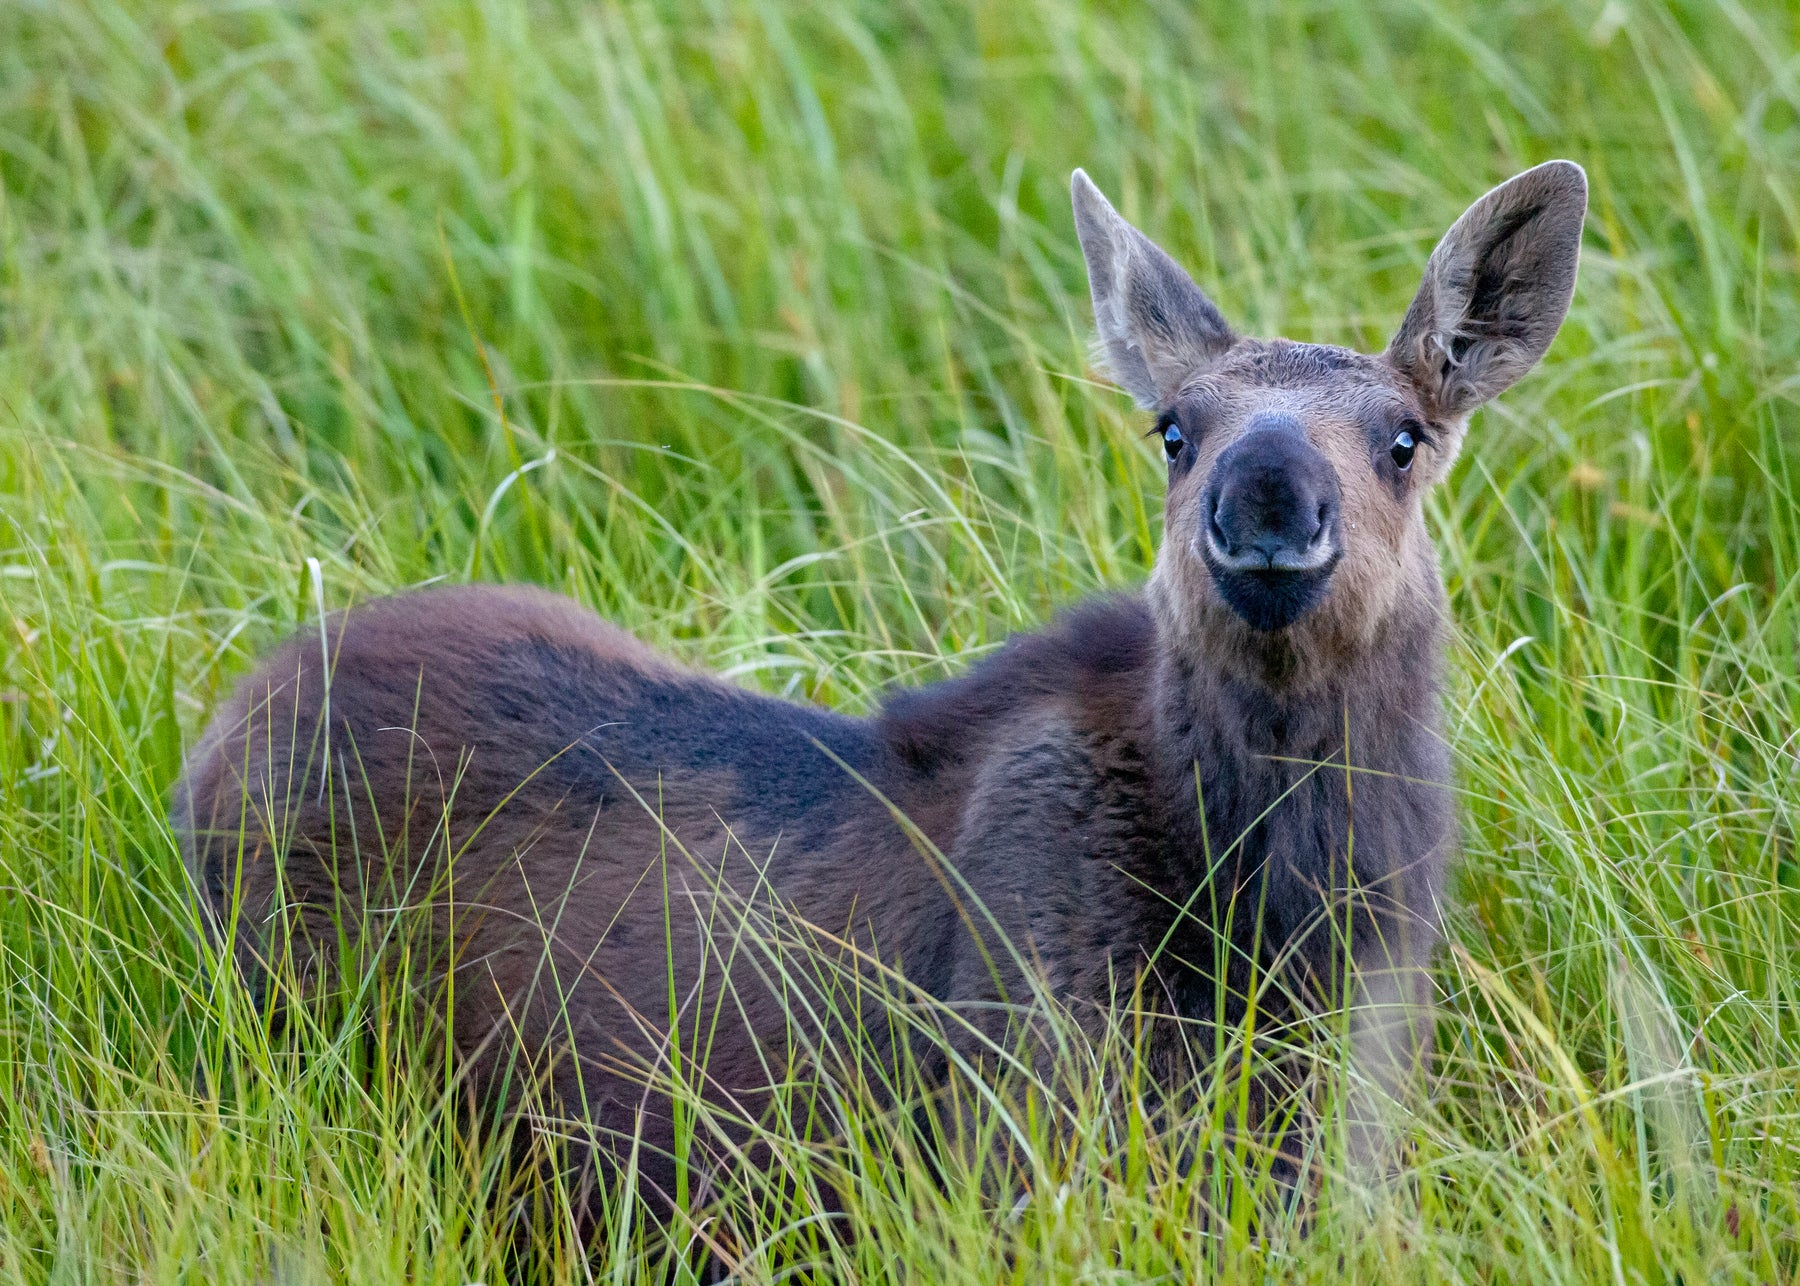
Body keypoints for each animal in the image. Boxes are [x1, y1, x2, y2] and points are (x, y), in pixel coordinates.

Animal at [179, 160, 1591, 1203]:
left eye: (1404, 436)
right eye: (1173, 431)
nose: (1265, 498)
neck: (1284, 902)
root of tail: (225, 723)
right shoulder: (1025, 1129)